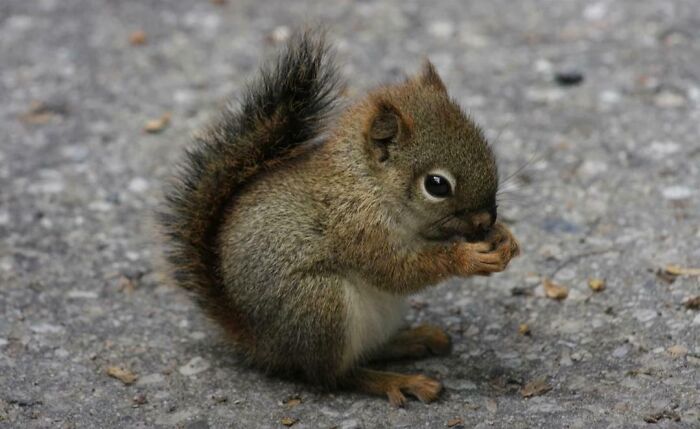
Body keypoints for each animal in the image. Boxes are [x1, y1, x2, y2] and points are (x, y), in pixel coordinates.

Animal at [159, 31, 520, 406]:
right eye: (436, 185)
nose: (486, 219)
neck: (367, 183)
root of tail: (261, 343)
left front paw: (504, 238)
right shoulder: (357, 228)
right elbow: (398, 270)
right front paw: (468, 257)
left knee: (368, 351)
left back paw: (411, 339)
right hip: (320, 305)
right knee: (333, 375)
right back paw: (396, 381)